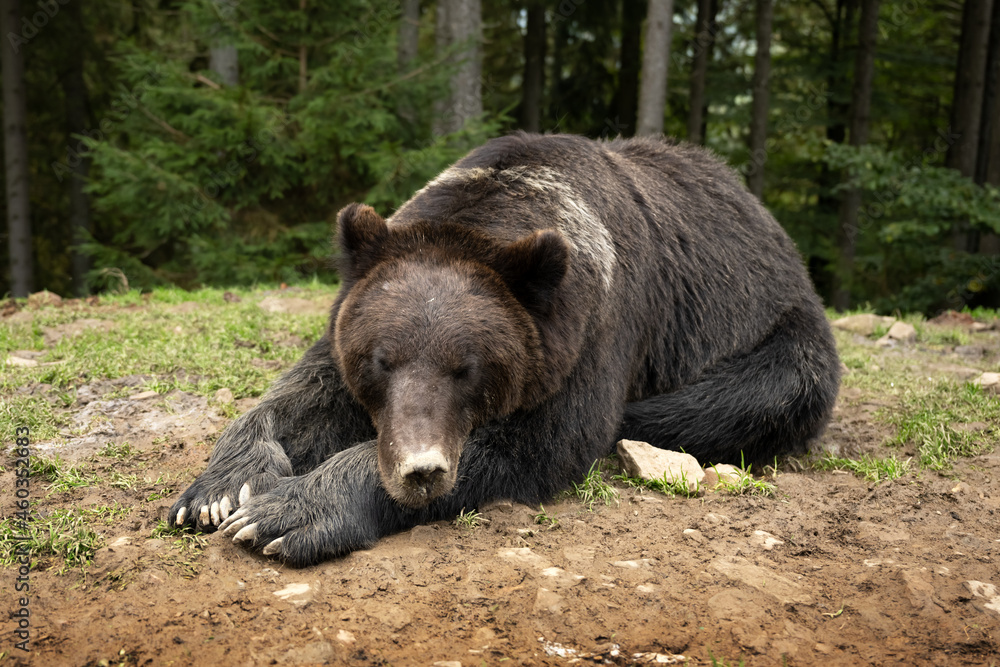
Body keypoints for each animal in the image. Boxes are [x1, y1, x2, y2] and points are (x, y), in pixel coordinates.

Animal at [169, 132, 841, 566]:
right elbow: (301, 398)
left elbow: (537, 442)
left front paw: (288, 512)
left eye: (466, 368)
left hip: (775, 329)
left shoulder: (594, 334)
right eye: (381, 360)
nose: (421, 469)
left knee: (747, 397)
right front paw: (220, 493)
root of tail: (766, 217)